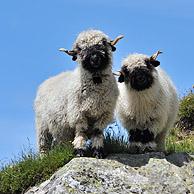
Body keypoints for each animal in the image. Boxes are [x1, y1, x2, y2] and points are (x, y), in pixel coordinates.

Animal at [34, 29, 123, 158]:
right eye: (80, 49)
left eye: (103, 43)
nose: (95, 58)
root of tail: (47, 81)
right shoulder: (78, 113)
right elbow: (81, 131)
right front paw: (79, 151)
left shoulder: (104, 114)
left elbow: (97, 132)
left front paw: (98, 151)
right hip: (42, 125)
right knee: (43, 143)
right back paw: (44, 157)